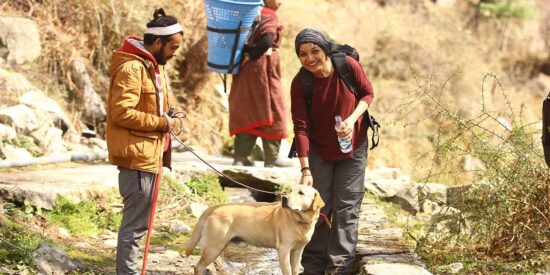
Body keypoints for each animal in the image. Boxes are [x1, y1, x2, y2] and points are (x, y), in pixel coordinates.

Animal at [187, 185, 324, 275]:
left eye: (301, 193)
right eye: (290, 191)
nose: (284, 198)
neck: (301, 221)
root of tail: (215, 207)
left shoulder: (297, 250)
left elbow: (294, 269)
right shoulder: (284, 249)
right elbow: (288, 271)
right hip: (214, 247)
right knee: (198, 267)